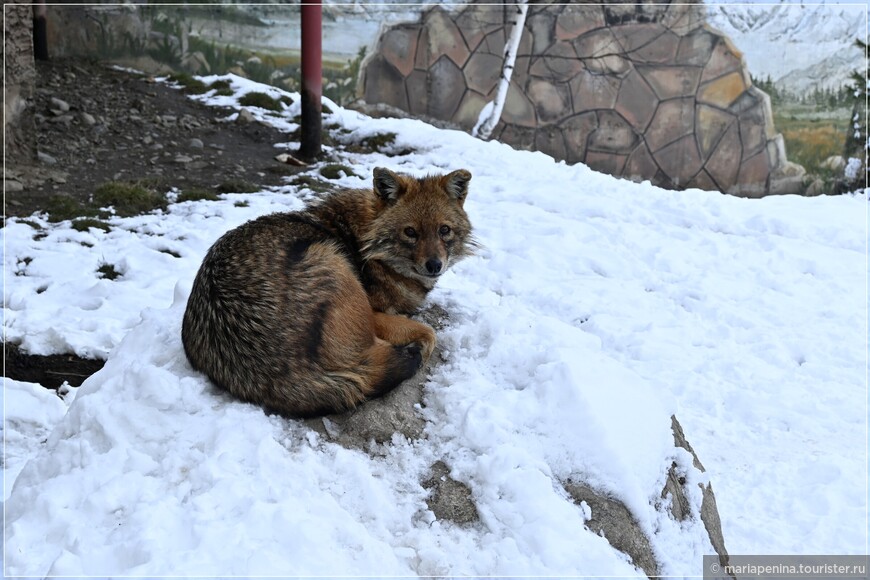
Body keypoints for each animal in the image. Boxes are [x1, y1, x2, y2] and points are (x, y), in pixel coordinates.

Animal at [182, 167, 476, 416]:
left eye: (444, 230)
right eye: (410, 232)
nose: (434, 265)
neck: (365, 243)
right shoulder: (376, 310)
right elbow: (429, 332)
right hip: (332, 261)